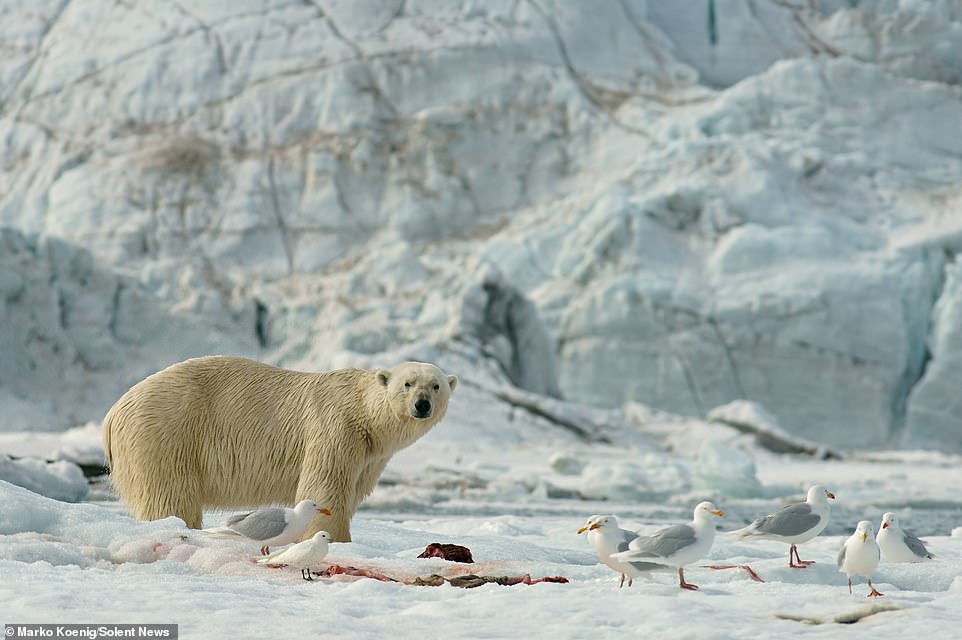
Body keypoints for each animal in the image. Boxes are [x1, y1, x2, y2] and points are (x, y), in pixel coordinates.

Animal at [103, 358, 456, 544]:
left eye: (436, 385)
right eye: (407, 384)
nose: (422, 405)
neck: (363, 415)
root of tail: (115, 411)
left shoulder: (370, 456)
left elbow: (351, 488)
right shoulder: (334, 428)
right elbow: (325, 487)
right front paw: (333, 539)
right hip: (166, 431)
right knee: (170, 494)